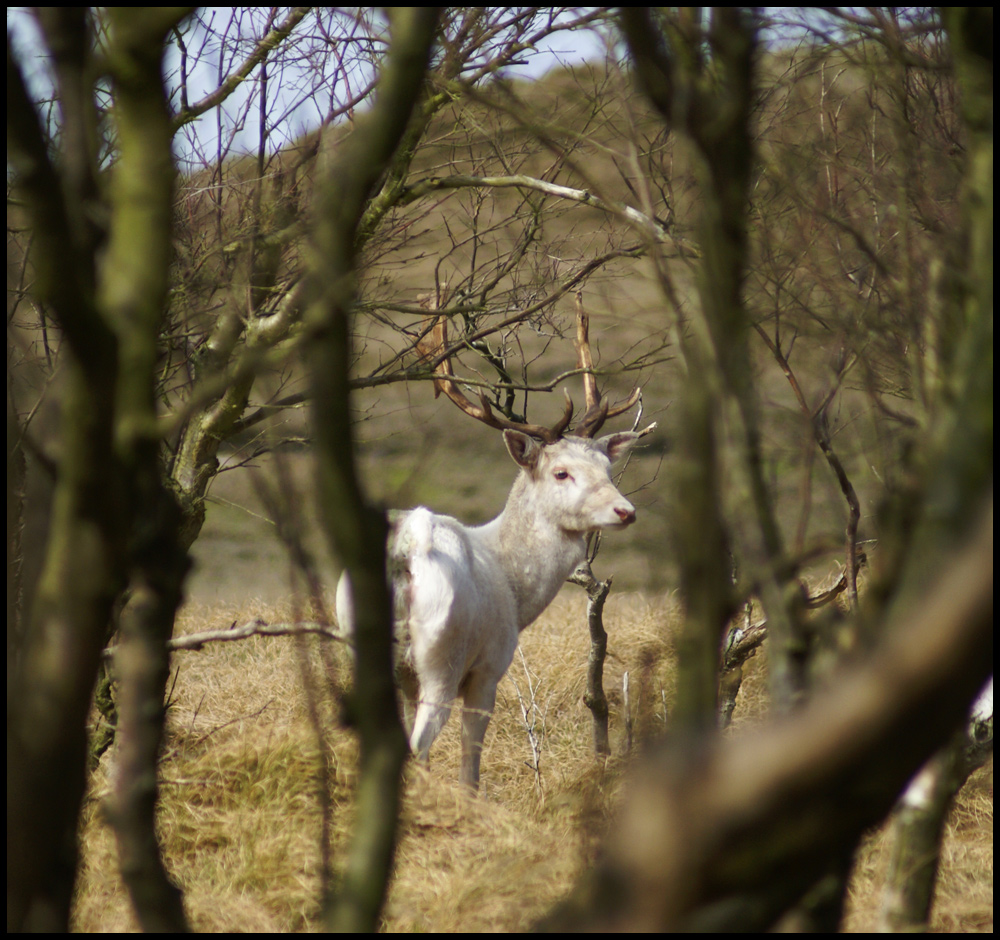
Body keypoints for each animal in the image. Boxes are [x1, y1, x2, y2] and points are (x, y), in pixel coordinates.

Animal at [334, 298, 648, 788]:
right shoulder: (488, 668)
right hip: (442, 652)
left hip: (357, 641)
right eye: (561, 472)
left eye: (607, 468)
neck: (516, 592)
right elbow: (470, 767)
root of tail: (405, 551)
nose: (625, 511)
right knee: (419, 745)